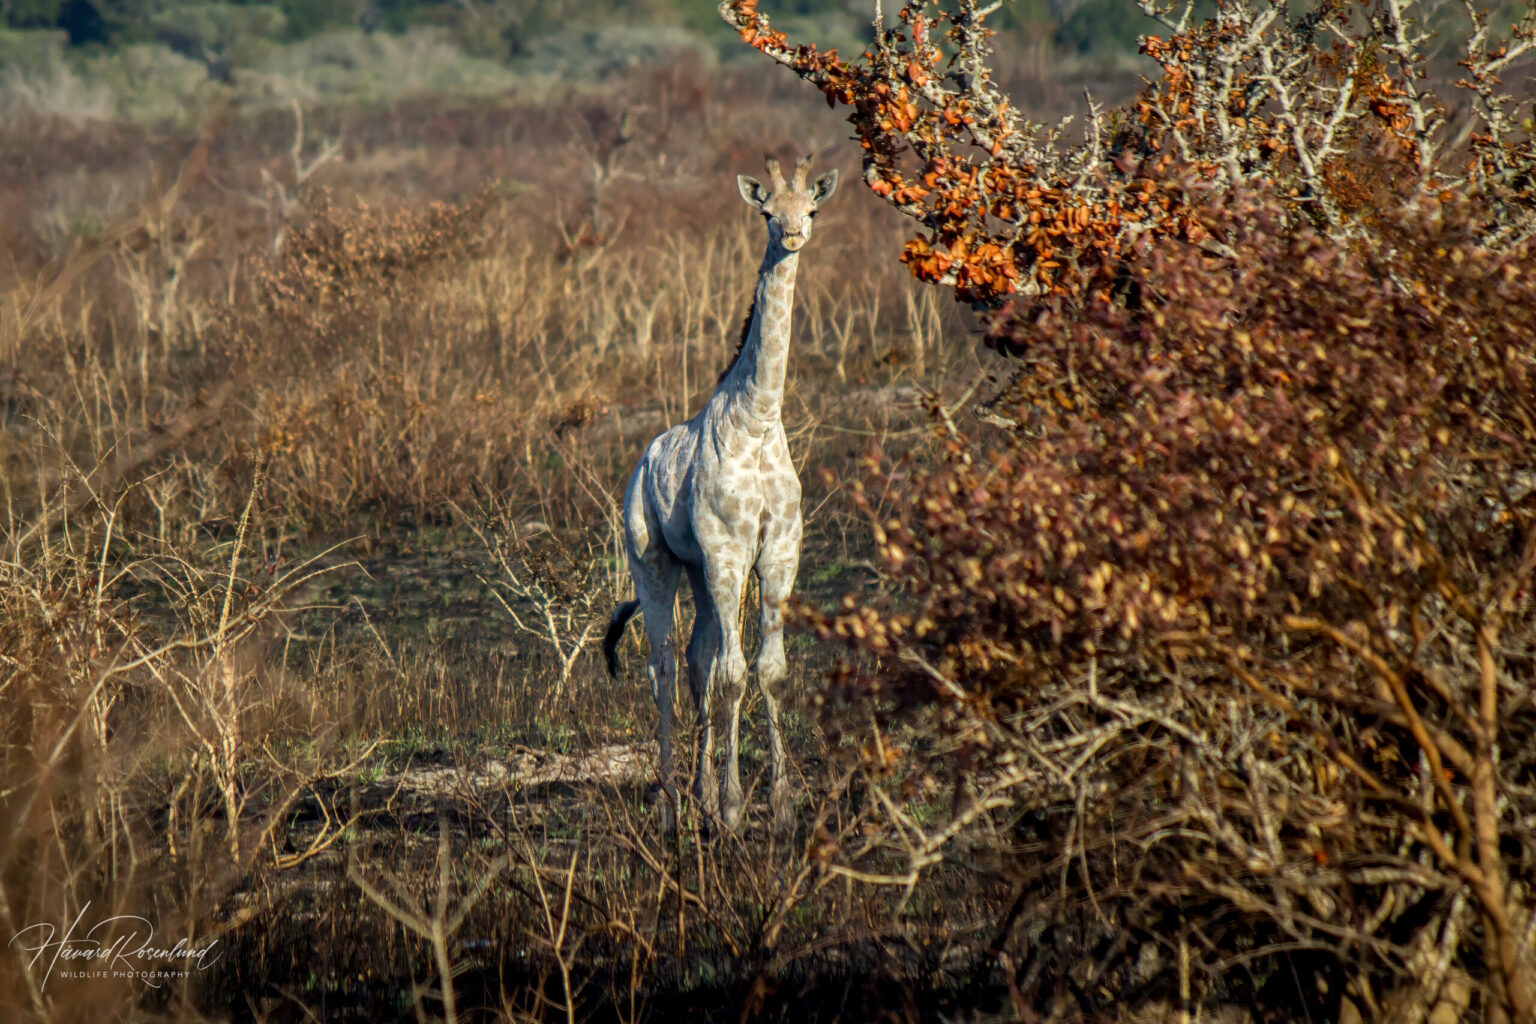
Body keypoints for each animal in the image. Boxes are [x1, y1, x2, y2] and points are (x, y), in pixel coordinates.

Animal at [604, 154, 837, 833]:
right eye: (766, 213)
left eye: (811, 207)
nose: (793, 236)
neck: (757, 422)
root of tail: (641, 462)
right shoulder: (728, 551)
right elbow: (735, 675)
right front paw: (735, 808)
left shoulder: (778, 551)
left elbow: (768, 672)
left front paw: (779, 807)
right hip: (655, 561)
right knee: (661, 665)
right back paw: (673, 804)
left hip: (696, 570)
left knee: (694, 659)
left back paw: (700, 797)